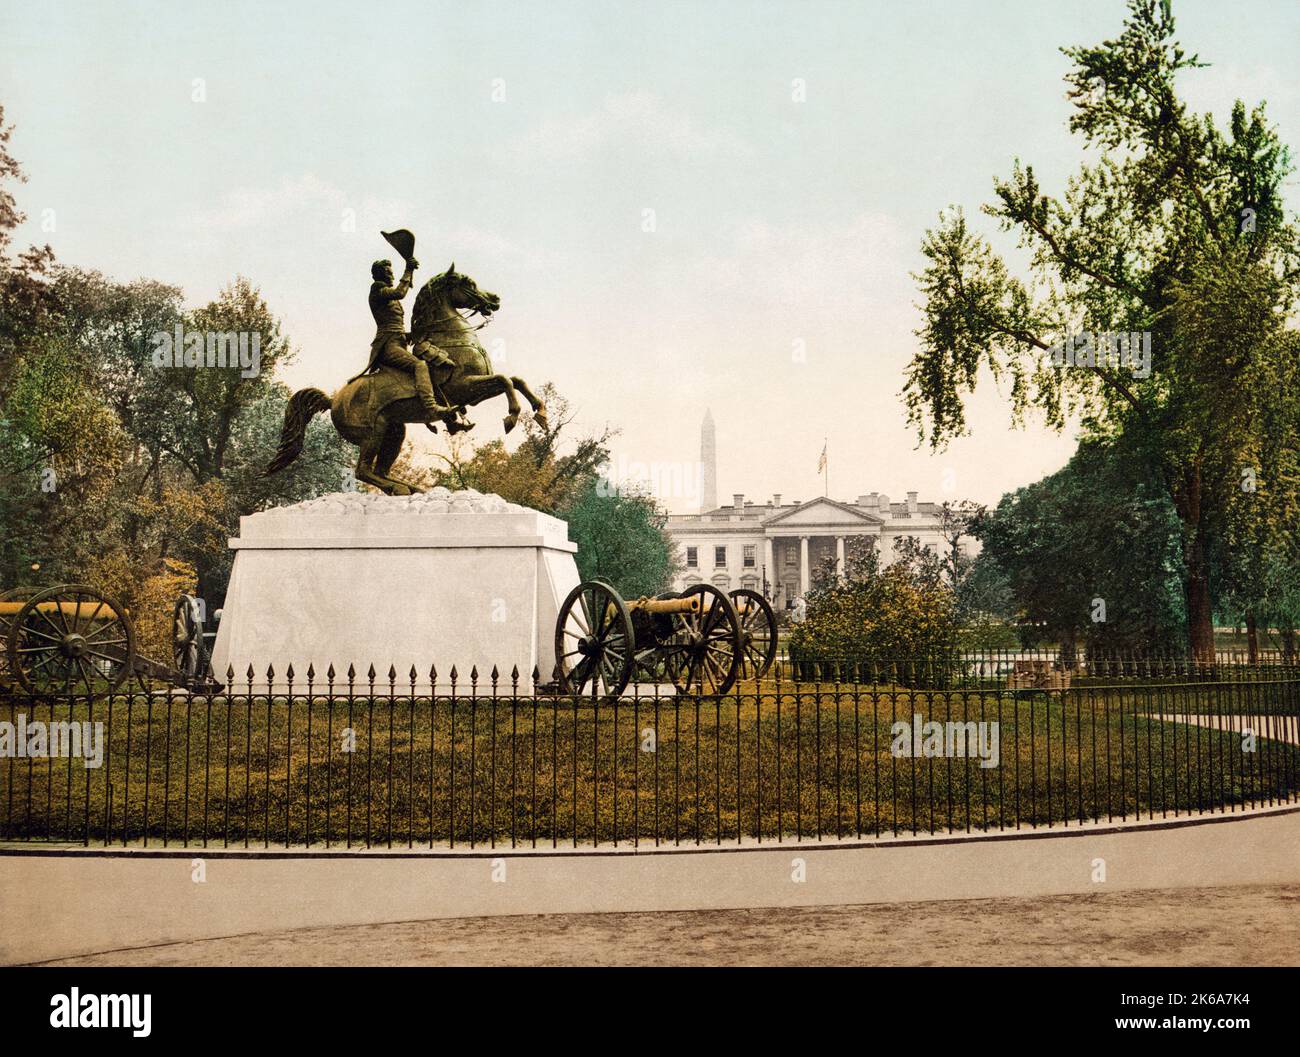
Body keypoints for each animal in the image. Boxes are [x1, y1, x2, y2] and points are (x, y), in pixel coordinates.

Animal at [263, 263, 548, 494]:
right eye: (467, 283)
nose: (495, 299)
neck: (451, 338)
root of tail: (333, 400)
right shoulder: (464, 388)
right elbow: (505, 380)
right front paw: (511, 417)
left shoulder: (476, 388)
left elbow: (516, 379)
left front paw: (541, 413)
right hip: (373, 433)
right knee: (363, 471)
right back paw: (398, 488)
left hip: (394, 431)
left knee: (380, 469)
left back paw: (413, 488)